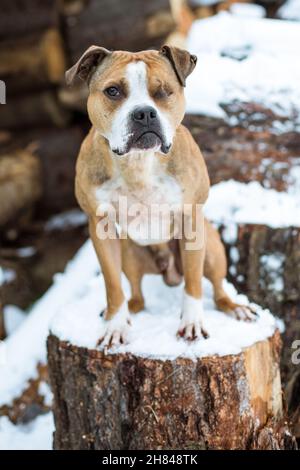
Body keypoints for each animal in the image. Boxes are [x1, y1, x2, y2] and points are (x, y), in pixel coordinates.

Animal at [66, 45, 255, 348]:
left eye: (164, 91)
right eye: (113, 91)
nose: (144, 114)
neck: (139, 162)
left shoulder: (191, 222)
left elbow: (194, 282)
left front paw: (192, 323)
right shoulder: (101, 228)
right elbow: (112, 285)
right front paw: (115, 326)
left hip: (212, 248)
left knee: (216, 288)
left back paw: (234, 307)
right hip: (129, 252)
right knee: (135, 293)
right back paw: (126, 311)